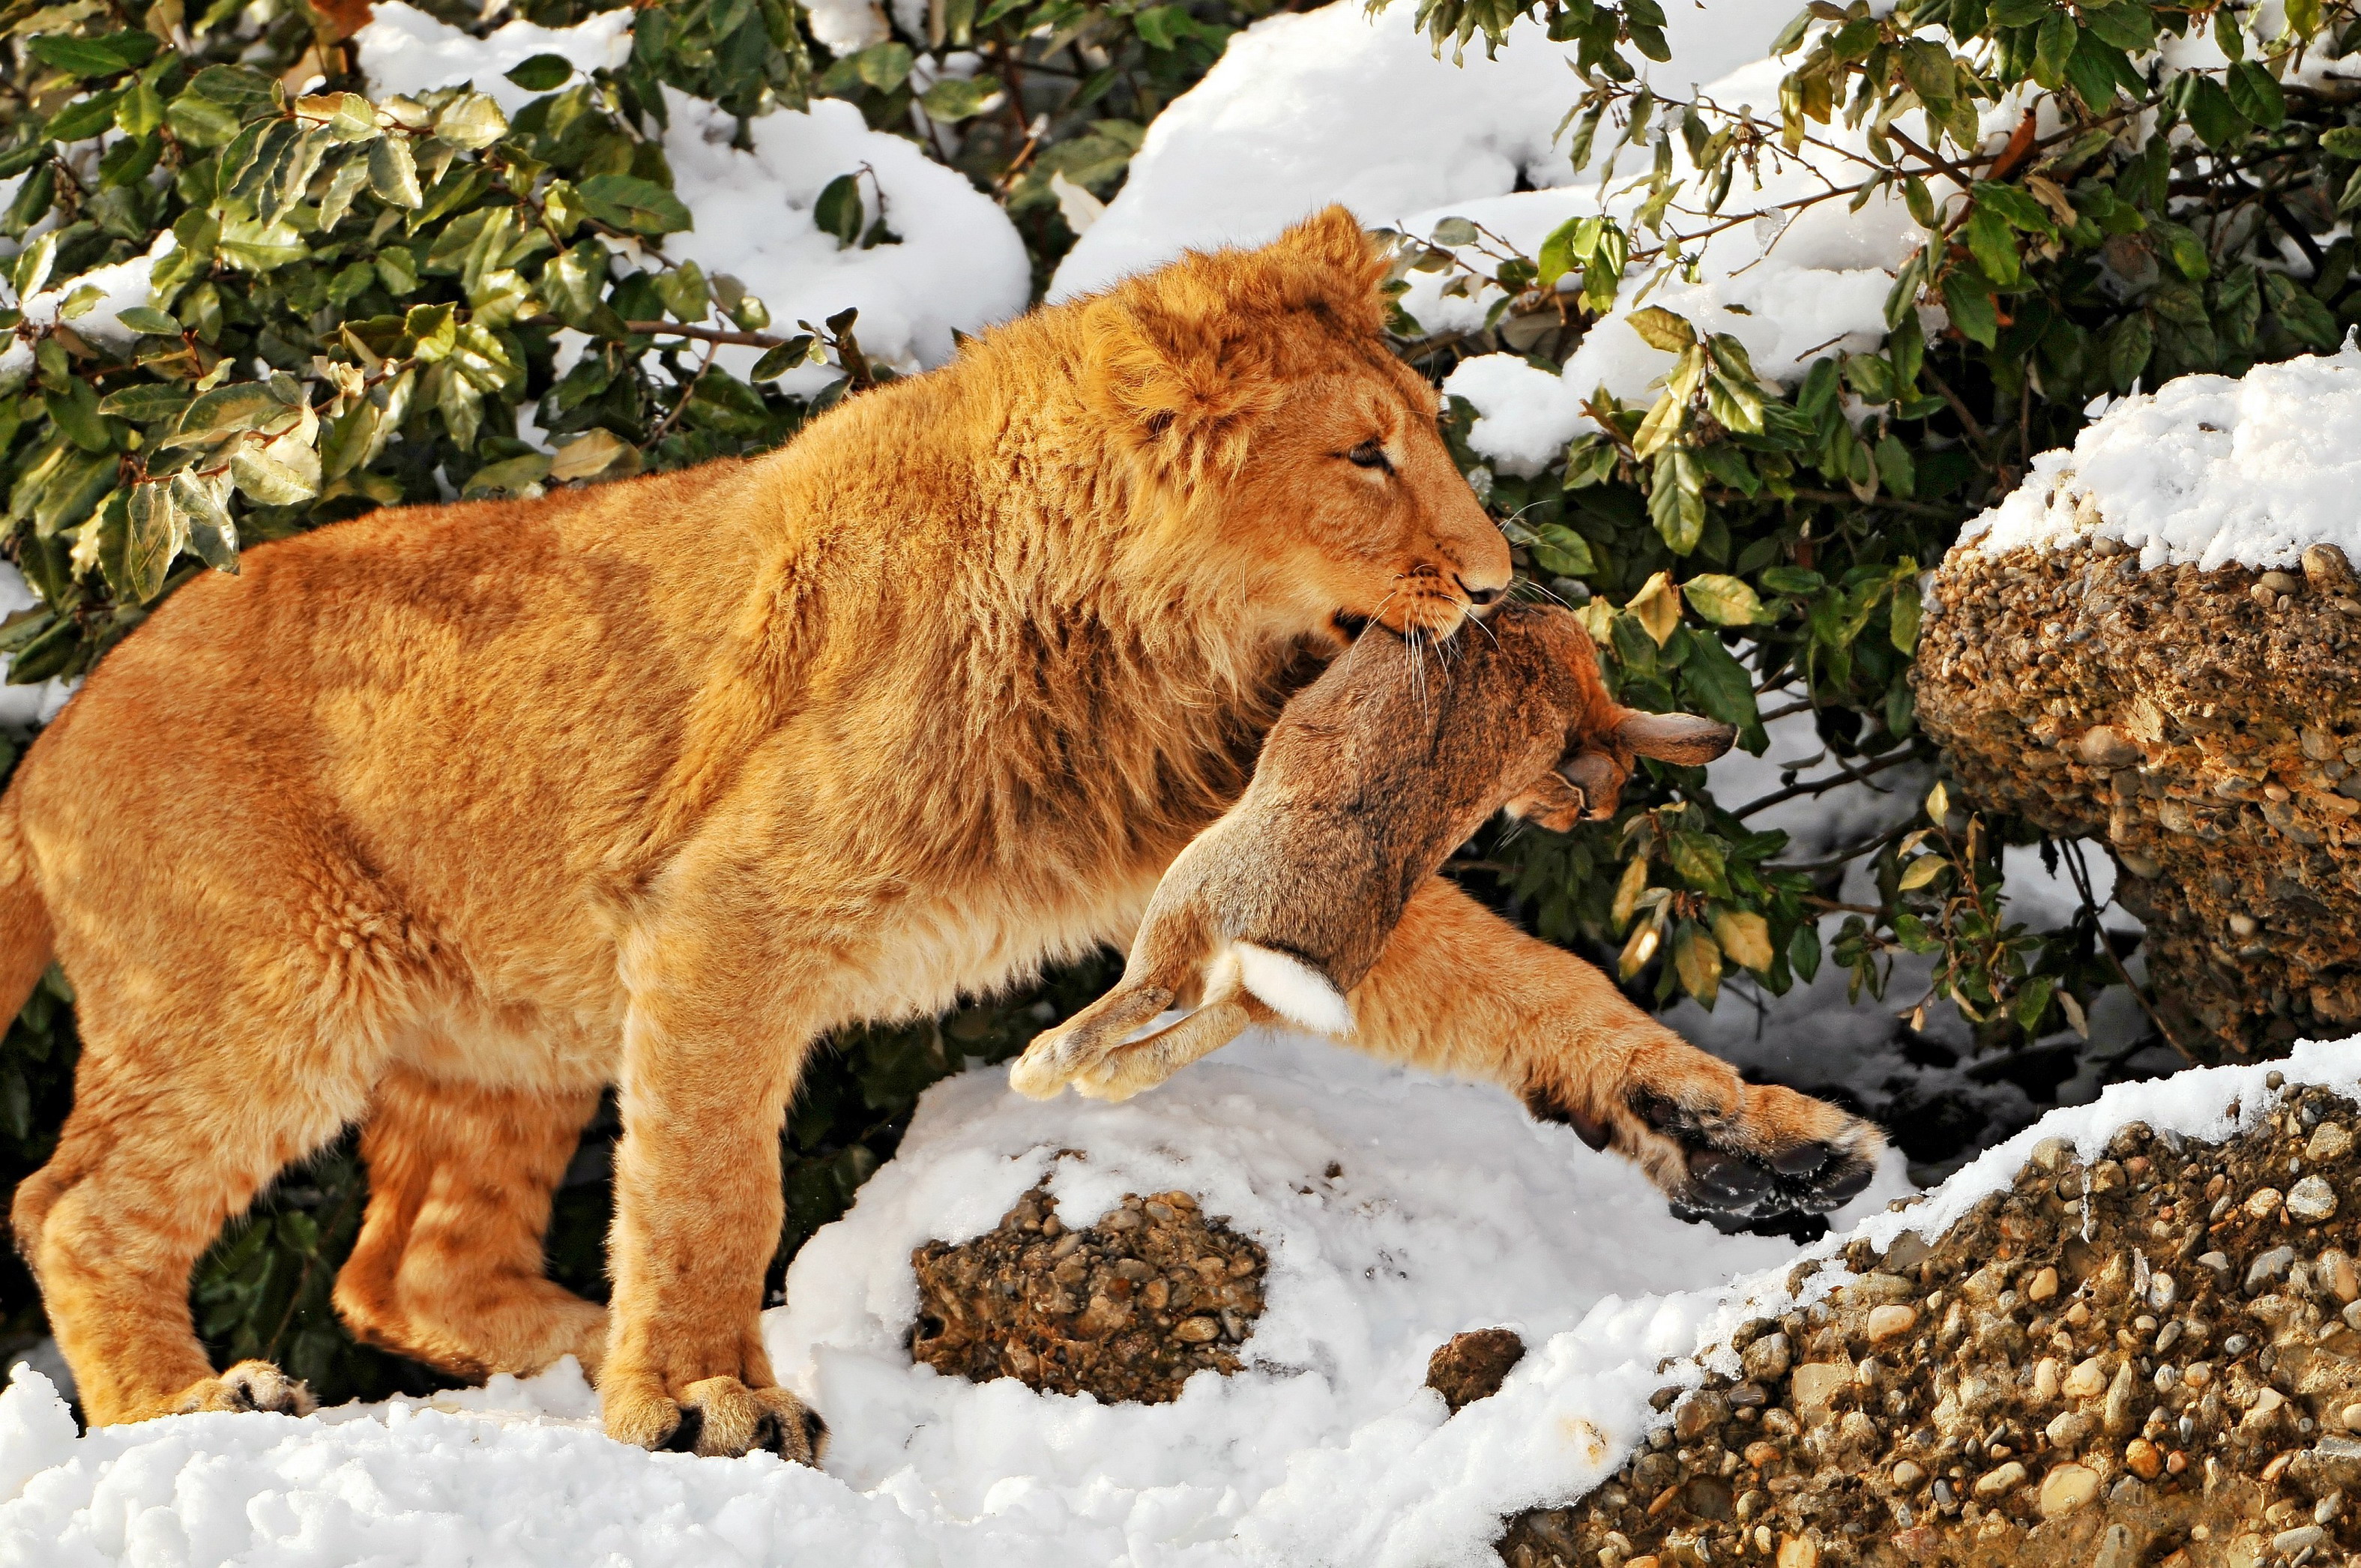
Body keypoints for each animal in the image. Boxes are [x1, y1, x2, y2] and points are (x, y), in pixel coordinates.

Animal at [1015, 600, 1737, 1100]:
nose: (1569, 821)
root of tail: (1288, 937)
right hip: (1283, 977)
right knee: (1206, 1028)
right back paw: (1102, 1081)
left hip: (1188, 891)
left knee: (1145, 994)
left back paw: (1041, 1069)